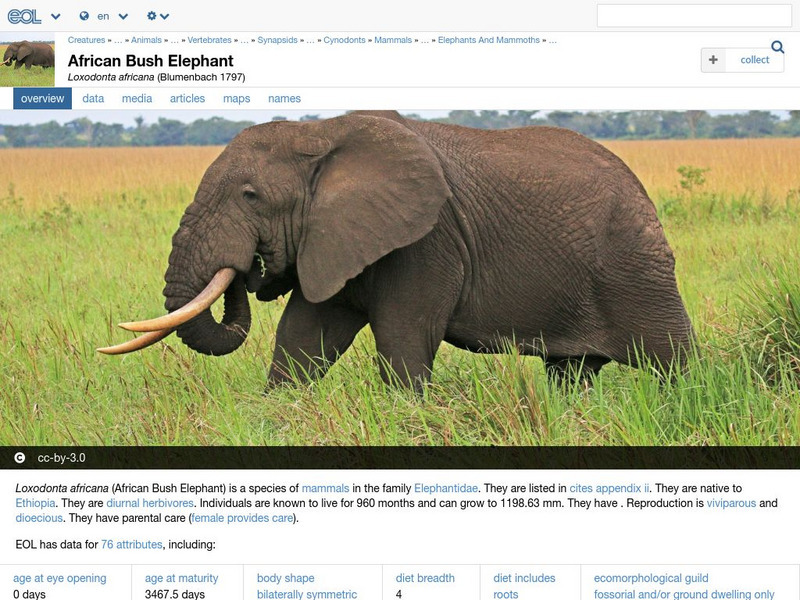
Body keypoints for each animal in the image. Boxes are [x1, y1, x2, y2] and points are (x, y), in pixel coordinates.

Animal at [100, 110, 695, 391]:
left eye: (250, 197)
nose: (253, 267)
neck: (319, 133)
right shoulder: (336, 237)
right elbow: (302, 339)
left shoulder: (427, 241)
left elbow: (405, 341)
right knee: (570, 373)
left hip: (636, 263)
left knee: (674, 361)